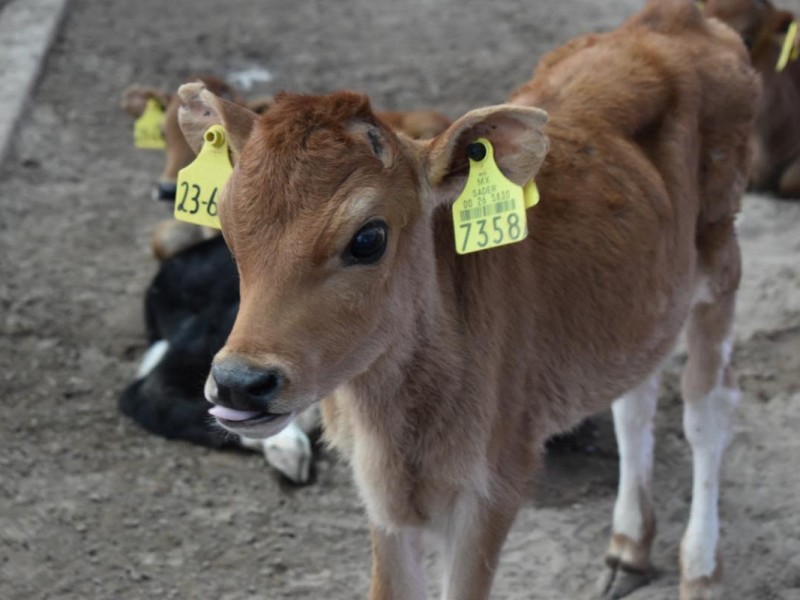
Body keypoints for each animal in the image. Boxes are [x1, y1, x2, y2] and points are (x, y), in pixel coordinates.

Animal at [180, 2, 756, 596]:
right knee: (637, 395)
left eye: (369, 238)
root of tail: (672, 17)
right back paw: (629, 547)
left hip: (722, 254)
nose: (240, 382)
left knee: (707, 408)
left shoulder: (495, 483)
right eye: (224, 220)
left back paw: (701, 568)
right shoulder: (380, 496)